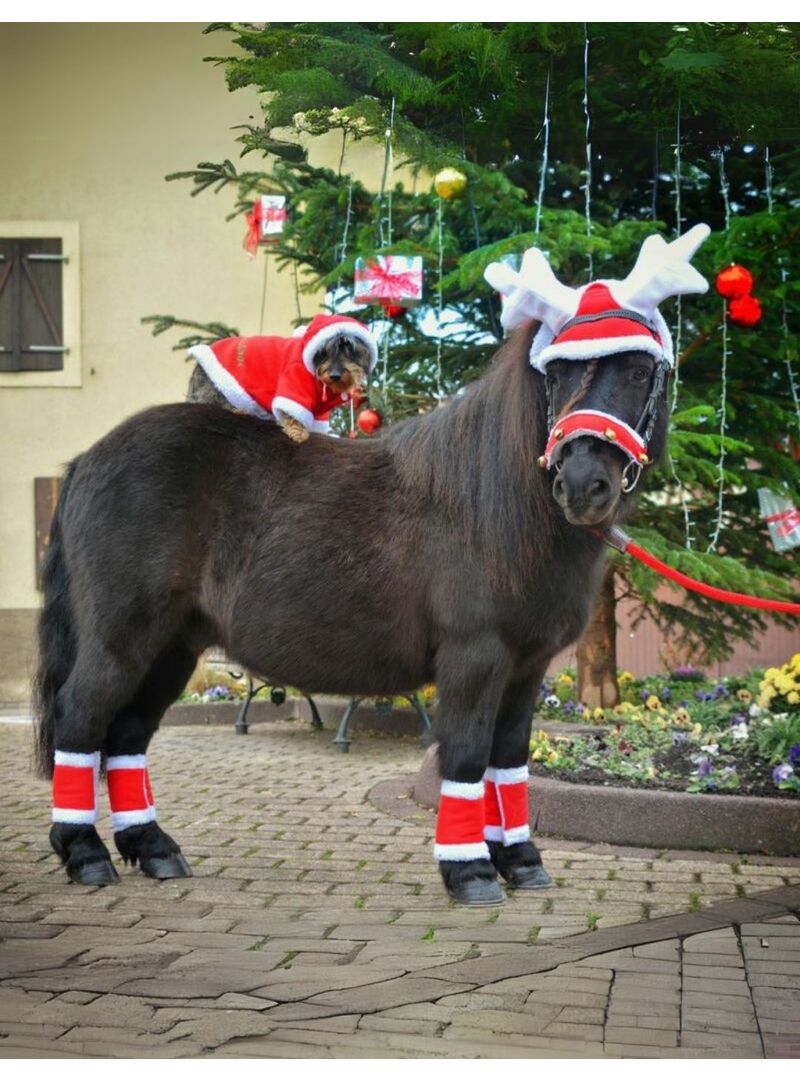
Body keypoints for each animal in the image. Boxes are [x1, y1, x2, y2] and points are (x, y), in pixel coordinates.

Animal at [32, 326, 669, 902]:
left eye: (641, 370)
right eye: (555, 374)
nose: (584, 485)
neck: (491, 505)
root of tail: (88, 459)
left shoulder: (526, 667)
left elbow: (508, 759)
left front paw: (521, 861)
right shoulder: (476, 657)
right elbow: (466, 754)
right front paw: (470, 871)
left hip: (172, 647)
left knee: (127, 732)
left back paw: (154, 849)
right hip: (120, 639)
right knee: (81, 718)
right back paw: (86, 854)